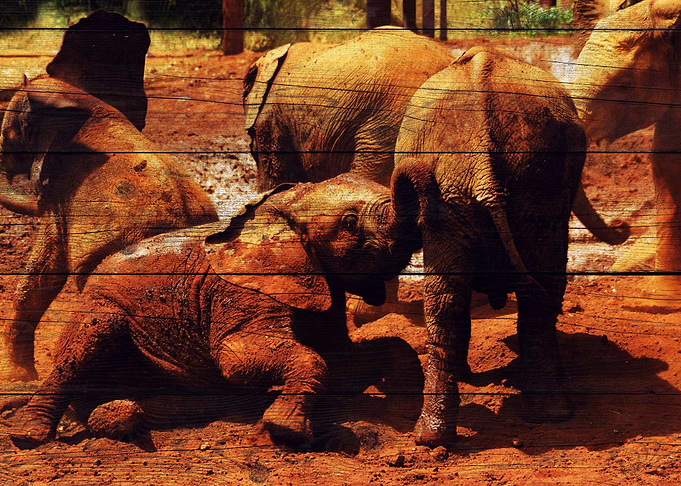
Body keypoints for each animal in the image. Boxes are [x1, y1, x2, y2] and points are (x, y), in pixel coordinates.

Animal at [8, 174, 423, 449]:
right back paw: (28, 434)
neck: (277, 209)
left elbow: (345, 357)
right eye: (350, 223)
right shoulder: (240, 292)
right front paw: (285, 431)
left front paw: (404, 414)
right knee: (86, 343)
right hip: (100, 308)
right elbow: (238, 359)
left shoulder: (320, 287)